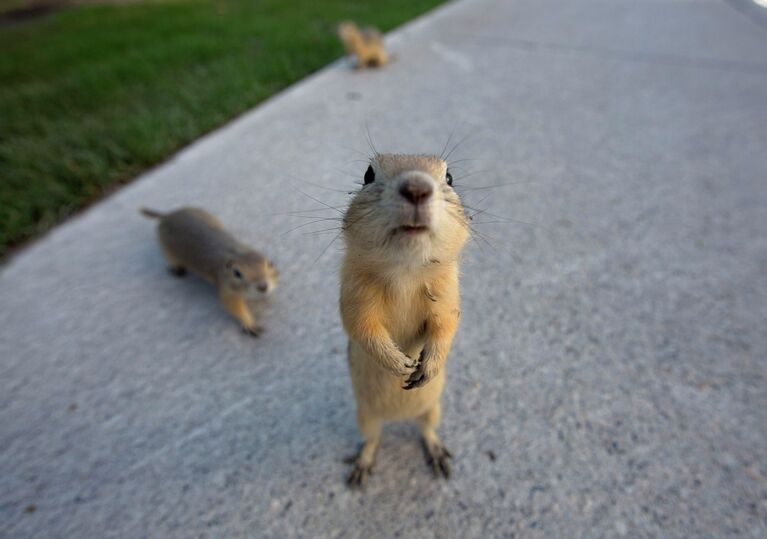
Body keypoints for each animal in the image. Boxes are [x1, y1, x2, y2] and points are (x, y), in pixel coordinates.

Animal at [141, 208, 280, 338]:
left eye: (270, 263)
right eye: (237, 273)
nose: (263, 287)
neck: (236, 252)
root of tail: (167, 215)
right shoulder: (226, 290)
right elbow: (234, 307)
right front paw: (249, 323)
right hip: (167, 250)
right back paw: (177, 269)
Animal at [340, 153, 472, 490]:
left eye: (450, 177)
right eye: (368, 174)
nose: (416, 188)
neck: (405, 271)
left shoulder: (448, 296)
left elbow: (445, 326)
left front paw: (427, 366)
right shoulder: (354, 296)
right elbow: (362, 327)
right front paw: (399, 364)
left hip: (432, 409)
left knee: (426, 430)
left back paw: (438, 455)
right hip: (365, 416)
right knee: (372, 439)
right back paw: (361, 466)